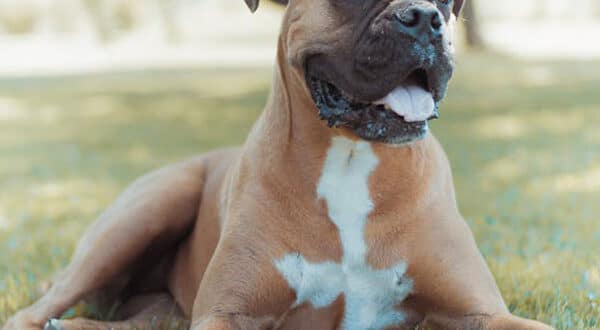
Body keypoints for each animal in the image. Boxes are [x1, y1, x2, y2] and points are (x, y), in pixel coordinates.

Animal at [3, 0, 552, 330]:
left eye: (443, 4)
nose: (422, 16)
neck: (351, 157)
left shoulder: (484, 312)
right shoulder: (225, 313)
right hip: (149, 208)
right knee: (33, 312)